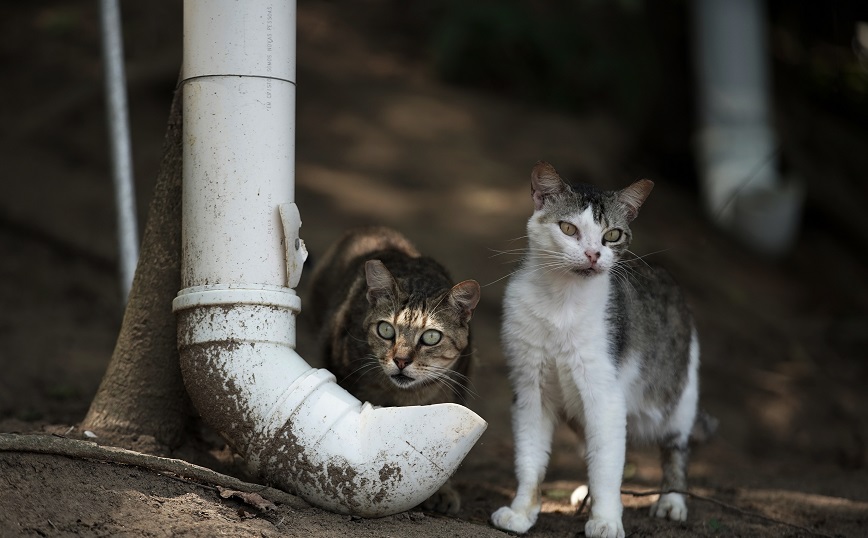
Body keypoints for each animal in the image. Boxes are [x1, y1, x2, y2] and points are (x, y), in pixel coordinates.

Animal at [306, 225, 482, 510]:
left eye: (431, 337)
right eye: (386, 330)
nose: (401, 360)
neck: (406, 397)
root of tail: (371, 227)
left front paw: (443, 491)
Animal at [492, 162, 716, 536]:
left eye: (612, 235)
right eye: (568, 229)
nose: (593, 254)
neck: (561, 302)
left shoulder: (605, 394)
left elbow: (608, 466)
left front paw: (607, 519)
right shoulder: (529, 388)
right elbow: (530, 458)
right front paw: (522, 511)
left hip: (679, 395)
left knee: (675, 448)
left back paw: (671, 501)